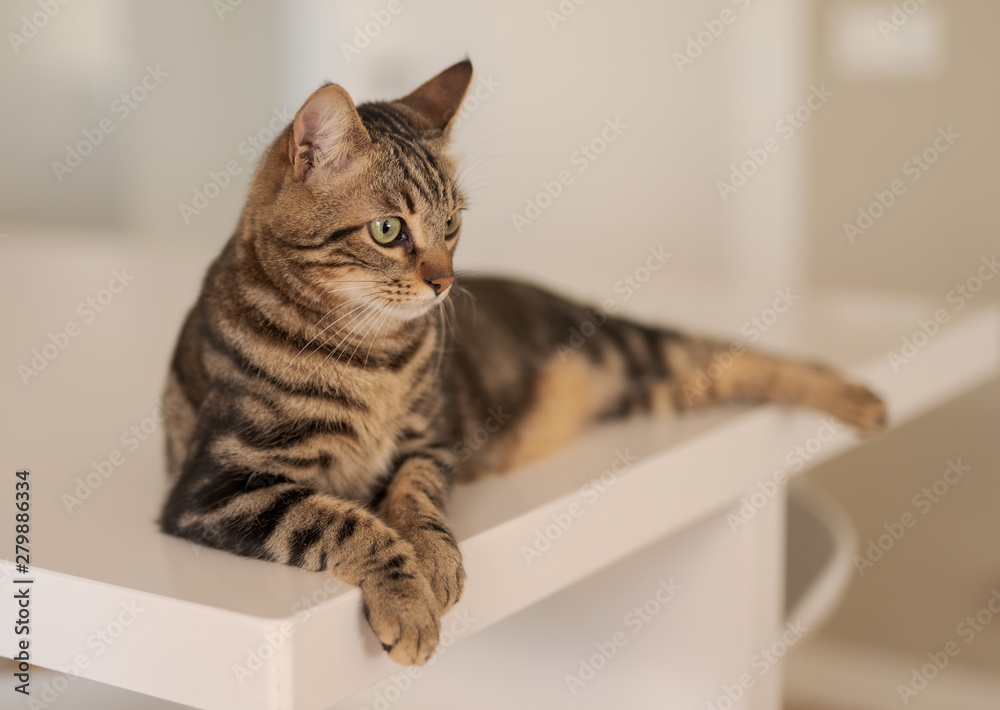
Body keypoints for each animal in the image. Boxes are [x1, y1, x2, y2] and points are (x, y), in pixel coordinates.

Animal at [160, 59, 888, 668]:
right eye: (389, 230)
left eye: (451, 225)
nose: (444, 282)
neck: (374, 353)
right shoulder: (216, 486)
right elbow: (344, 521)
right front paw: (408, 599)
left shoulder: (432, 441)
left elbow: (414, 495)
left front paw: (434, 559)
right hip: (645, 387)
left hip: (634, 351)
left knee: (735, 353)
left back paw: (855, 394)